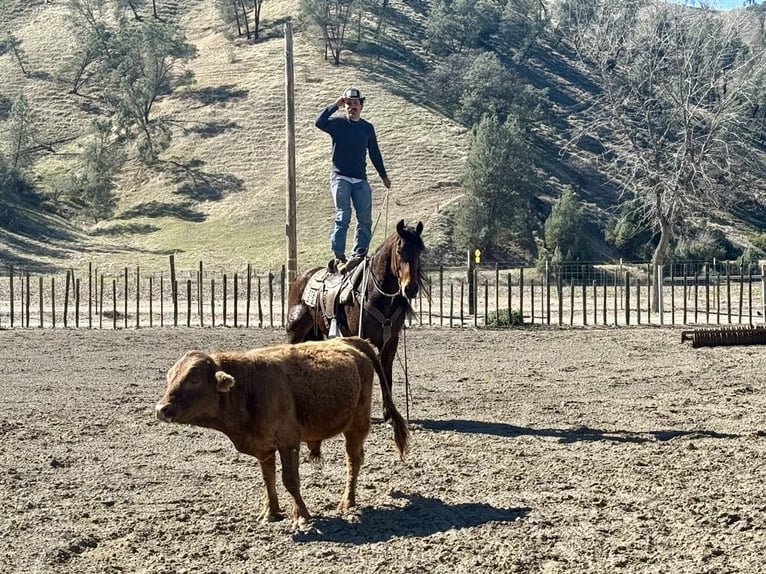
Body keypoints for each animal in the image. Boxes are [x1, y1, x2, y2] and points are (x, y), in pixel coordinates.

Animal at [153, 340, 412, 528]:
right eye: (170, 377)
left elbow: (290, 480)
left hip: (356, 425)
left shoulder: (288, 443)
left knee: (353, 460)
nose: (161, 409)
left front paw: (302, 516)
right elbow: (268, 478)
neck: (248, 386)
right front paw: (271, 511)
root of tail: (352, 341)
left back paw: (347, 500)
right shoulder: (264, 448)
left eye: (194, 379)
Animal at [286, 219, 426, 418]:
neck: (375, 293)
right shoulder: (360, 337)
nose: (410, 288)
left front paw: (388, 412)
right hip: (294, 328)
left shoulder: (391, 341)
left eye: (419, 250)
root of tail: (302, 278)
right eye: (399, 250)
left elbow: (386, 373)